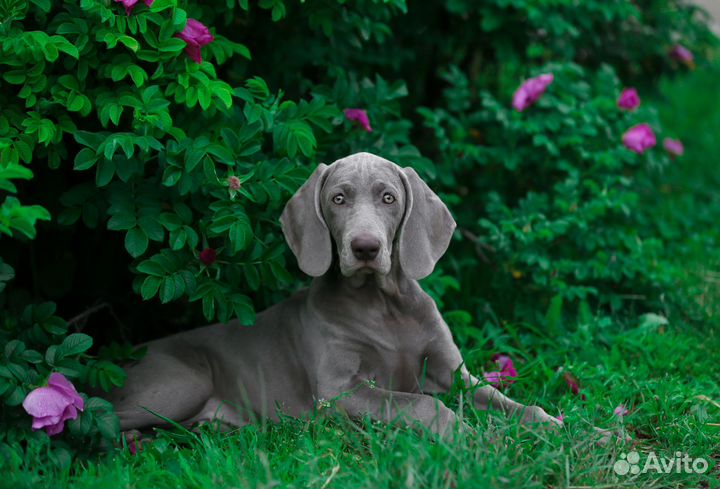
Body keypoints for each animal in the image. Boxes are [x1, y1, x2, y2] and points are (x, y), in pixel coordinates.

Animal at [108, 152, 564, 434]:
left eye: (388, 197)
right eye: (338, 198)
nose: (365, 248)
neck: (383, 305)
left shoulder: (454, 374)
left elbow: (507, 401)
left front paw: (559, 427)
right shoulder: (338, 391)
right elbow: (423, 404)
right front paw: (471, 438)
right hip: (182, 383)